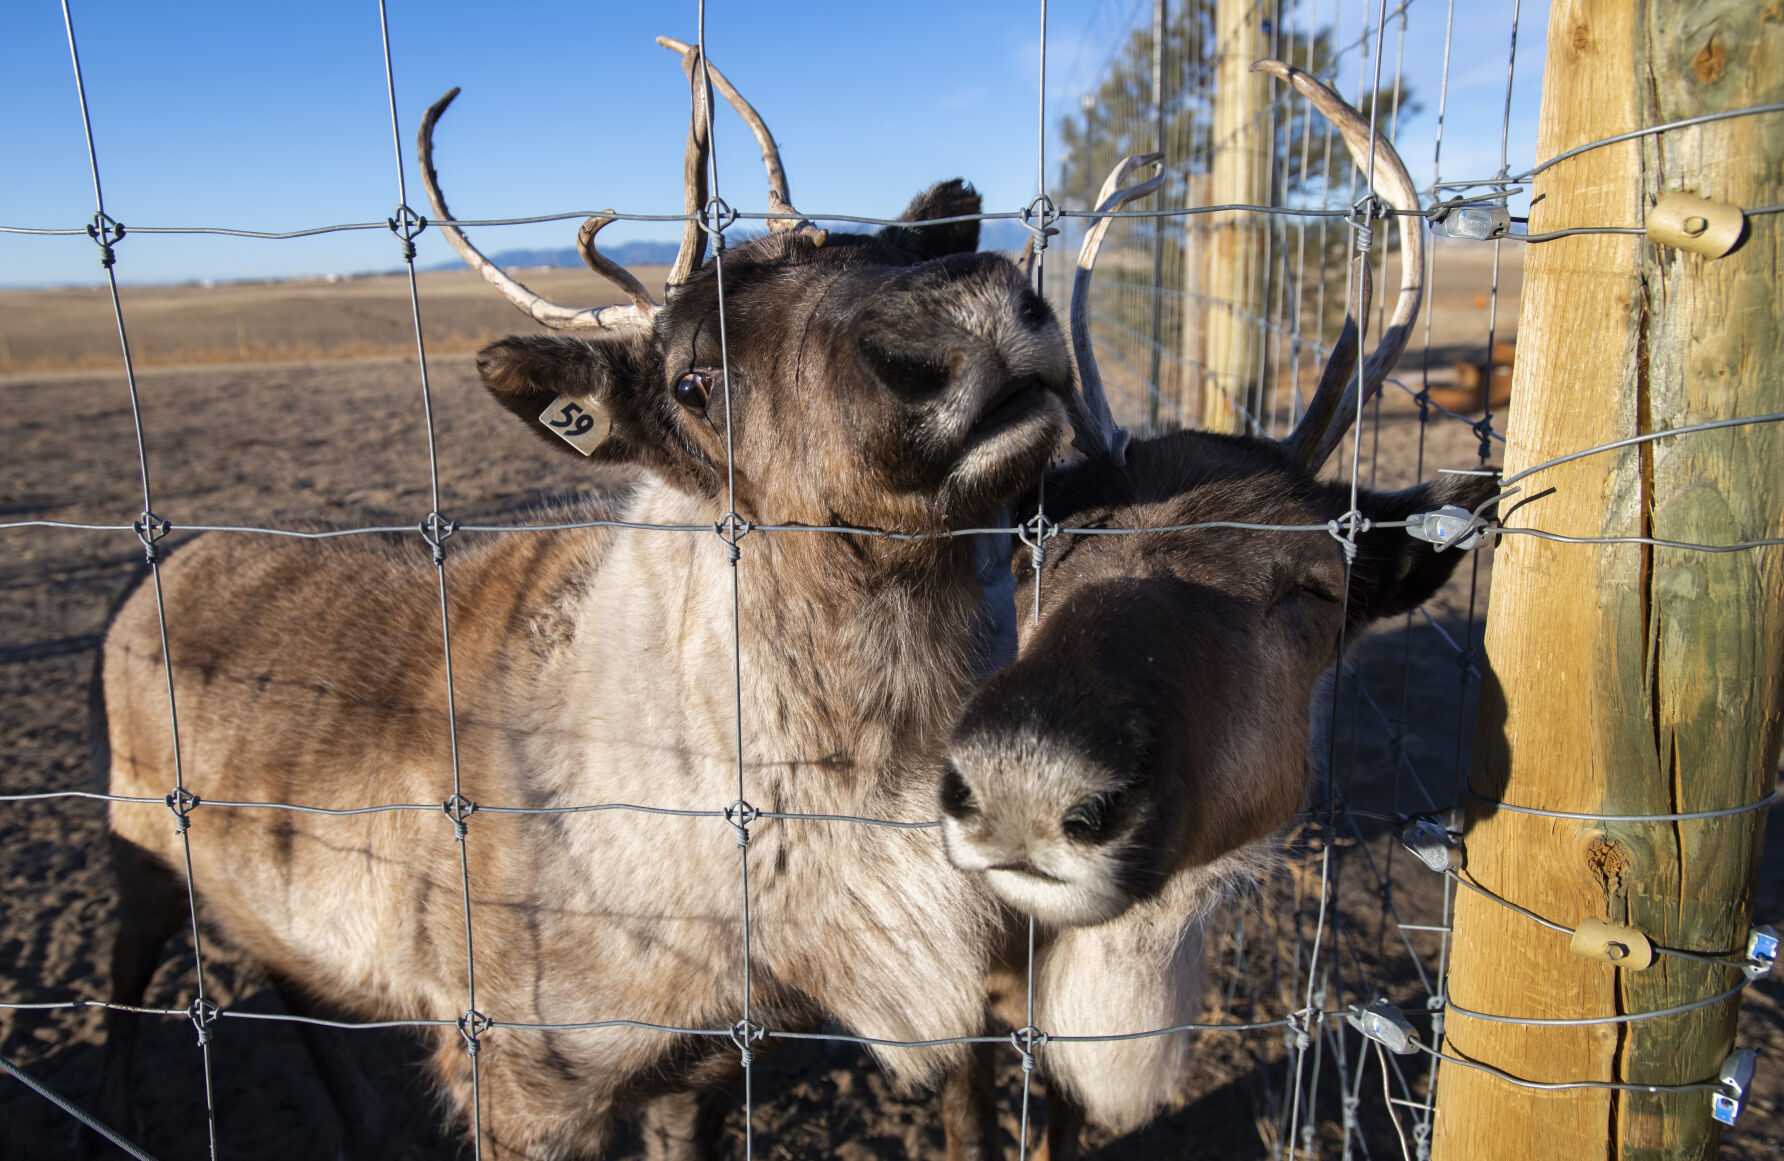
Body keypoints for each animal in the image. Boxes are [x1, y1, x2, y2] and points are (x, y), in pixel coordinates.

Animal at [94, 37, 1072, 1161]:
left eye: (882, 249)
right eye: (691, 382)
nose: (962, 317)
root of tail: (158, 572)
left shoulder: (704, 1064)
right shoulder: (522, 1085)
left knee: (290, 983)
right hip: (139, 851)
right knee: (125, 989)